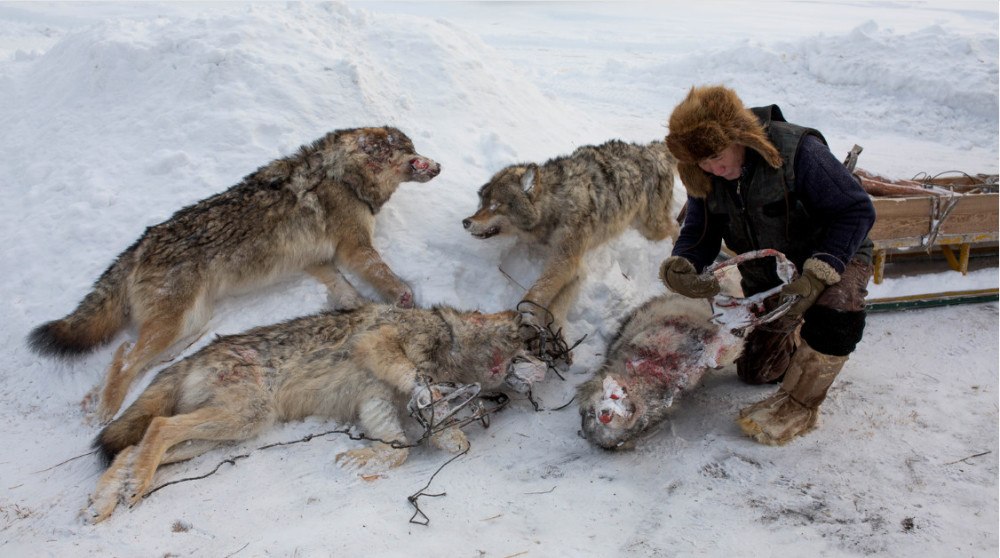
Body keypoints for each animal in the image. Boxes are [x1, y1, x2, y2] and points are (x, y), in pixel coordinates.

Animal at [27, 127, 440, 424]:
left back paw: (95, 403)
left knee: (127, 353)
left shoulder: (317, 261)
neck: (341, 174)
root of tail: (139, 245)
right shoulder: (354, 248)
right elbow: (384, 277)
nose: (438, 166)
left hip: (190, 324)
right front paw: (403, 298)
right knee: (127, 357)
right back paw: (105, 412)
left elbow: (346, 292)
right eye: (411, 151)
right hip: (176, 324)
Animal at [84, 302, 556, 524]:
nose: (547, 367)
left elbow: (400, 447)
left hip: (227, 432)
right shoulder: (381, 346)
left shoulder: (376, 400)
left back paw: (104, 503)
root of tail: (193, 357)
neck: (452, 346)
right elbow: (416, 386)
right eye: (525, 341)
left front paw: (359, 460)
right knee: (157, 427)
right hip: (242, 418)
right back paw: (130, 490)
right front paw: (433, 400)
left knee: (130, 450)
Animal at [462, 139, 680, 334]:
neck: (558, 203)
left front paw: (528, 315)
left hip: (652, 229)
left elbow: (537, 291)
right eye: (482, 203)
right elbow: (556, 307)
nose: (465, 222)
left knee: (676, 226)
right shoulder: (575, 266)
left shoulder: (565, 260)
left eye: (496, 205)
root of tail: (649, 149)